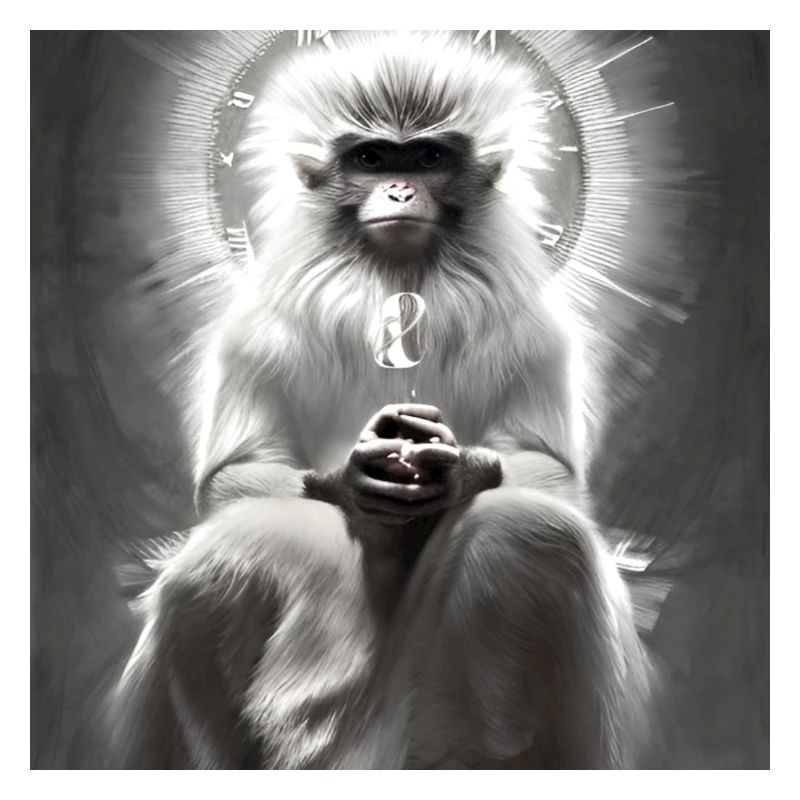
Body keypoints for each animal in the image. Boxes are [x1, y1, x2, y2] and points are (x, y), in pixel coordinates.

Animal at [112, 31, 652, 769]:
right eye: (370, 159)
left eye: (426, 158)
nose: (398, 189)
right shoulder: (252, 326)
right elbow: (232, 478)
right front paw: (351, 479)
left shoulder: (538, 328)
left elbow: (554, 476)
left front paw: (461, 471)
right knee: (223, 563)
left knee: (534, 533)